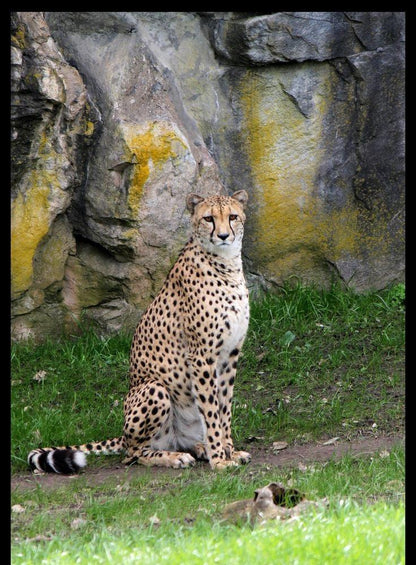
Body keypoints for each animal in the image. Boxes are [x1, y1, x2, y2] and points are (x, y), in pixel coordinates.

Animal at [29, 189, 252, 472]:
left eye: (232, 217)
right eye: (209, 219)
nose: (223, 236)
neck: (226, 264)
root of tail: (123, 435)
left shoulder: (230, 355)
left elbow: (224, 409)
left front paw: (229, 451)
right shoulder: (202, 356)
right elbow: (212, 411)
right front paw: (220, 460)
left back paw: (197, 448)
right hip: (154, 389)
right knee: (133, 453)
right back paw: (174, 457)